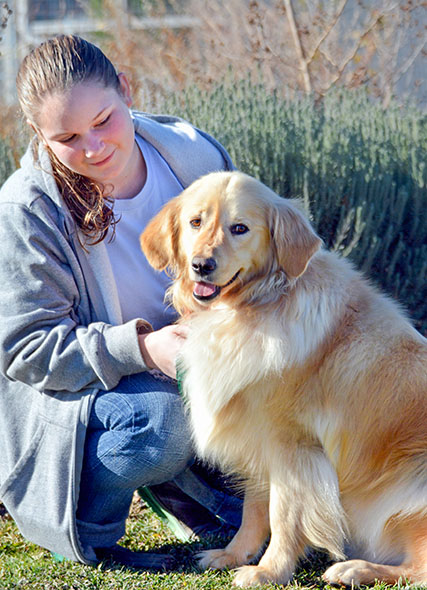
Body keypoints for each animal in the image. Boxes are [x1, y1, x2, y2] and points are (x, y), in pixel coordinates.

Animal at [140, 170, 427, 588]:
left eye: (239, 228)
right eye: (196, 222)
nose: (201, 265)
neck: (254, 307)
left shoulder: (293, 447)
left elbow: (283, 515)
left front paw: (269, 570)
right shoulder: (258, 438)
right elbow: (254, 510)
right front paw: (233, 555)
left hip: (410, 485)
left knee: (418, 568)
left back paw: (354, 569)